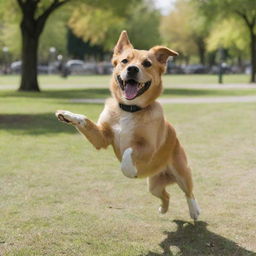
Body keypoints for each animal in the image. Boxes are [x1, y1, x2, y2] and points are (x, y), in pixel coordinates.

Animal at [55, 30, 200, 220]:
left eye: (147, 63)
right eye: (124, 61)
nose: (132, 69)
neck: (130, 110)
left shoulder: (149, 147)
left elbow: (128, 152)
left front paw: (129, 170)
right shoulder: (102, 137)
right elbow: (84, 120)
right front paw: (67, 115)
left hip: (182, 173)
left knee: (189, 192)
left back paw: (194, 211)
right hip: (153, 186)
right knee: (166, 195)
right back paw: (163, 209)